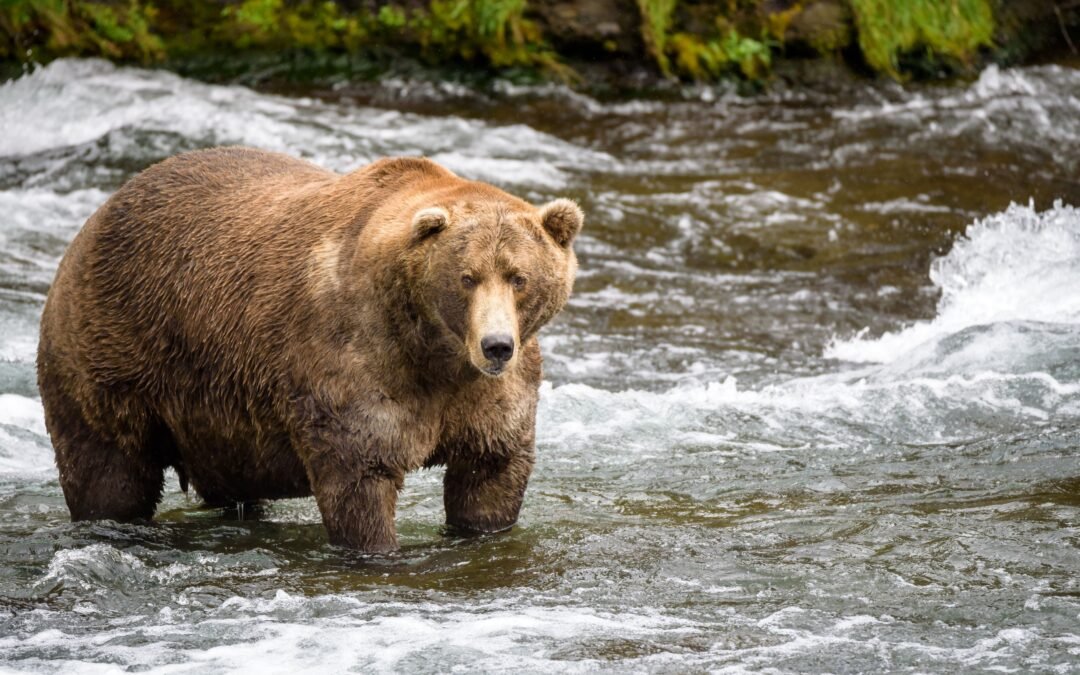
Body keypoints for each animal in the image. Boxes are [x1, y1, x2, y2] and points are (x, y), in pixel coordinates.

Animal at [35, 144, 583, 550]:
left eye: (518, 277)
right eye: (467, 277)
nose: (496, 346)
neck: (434, 351)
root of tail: (96, 217)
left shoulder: (489, 396)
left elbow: (491, 473)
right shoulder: (354, 359)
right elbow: (359, 476)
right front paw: (376, 547)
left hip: (214, 415)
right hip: (113, 351)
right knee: (109, 470)